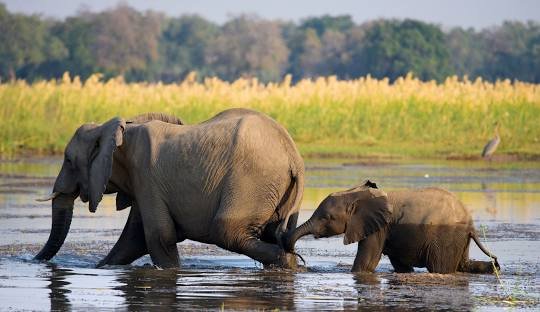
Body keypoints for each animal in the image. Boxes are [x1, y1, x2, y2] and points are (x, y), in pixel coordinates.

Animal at [34, 109, 304, 268]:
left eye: (69, 160)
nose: (34, 261)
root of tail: (293, 156)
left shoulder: (146, 176)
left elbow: (159, 236)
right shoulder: (142, 182)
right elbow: (134, 239)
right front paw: (102, 267)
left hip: (251, 181)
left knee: (225, 230)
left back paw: (285, 260)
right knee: (274, 235)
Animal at [284, 180, 500, 272]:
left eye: (326, 217)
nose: (301, 262)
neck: (356, 194)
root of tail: (471, 224)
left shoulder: (378, 228)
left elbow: (366, 263)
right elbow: (401, 265)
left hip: (445, 237)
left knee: (441, 268)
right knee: (464, 265)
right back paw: (493, 267)